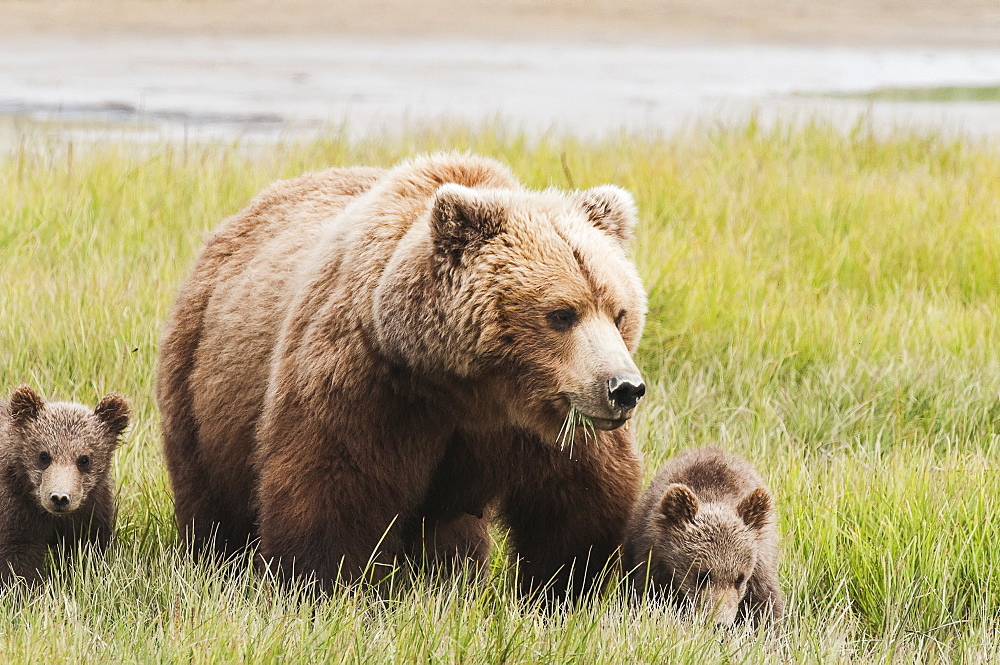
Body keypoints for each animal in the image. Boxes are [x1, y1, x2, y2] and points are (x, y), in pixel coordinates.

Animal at [0, 384, 131, 580]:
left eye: (84, 459)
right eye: (43, 456)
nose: (60, 498)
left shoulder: (91, 509)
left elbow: (90, 546)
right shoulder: (15, 507)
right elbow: (18, 558)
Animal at [152, 152, 644, 596]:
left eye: (618, 311)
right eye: (561, 314)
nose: (625, 389)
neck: (470, 387)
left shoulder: (550, 423)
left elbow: (579, 503)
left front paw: (563, 589)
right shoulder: (372, 385)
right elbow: (334, 485)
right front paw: (323, 587)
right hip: (203, 379)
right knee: (211, 496)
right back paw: (216, 559)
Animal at [624, 446, 780, 628]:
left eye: (740, 578)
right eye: (702, 575)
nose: (720, 623)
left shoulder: (759, 567)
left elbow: (766, 607)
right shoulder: (655, 561)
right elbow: (650, 595)